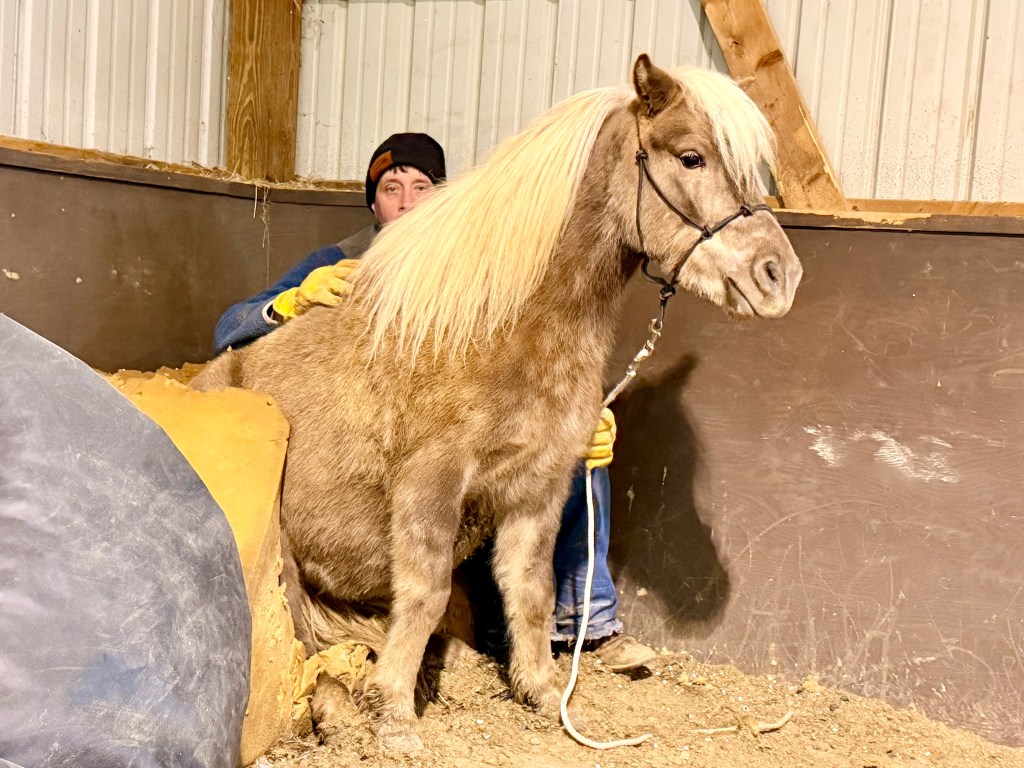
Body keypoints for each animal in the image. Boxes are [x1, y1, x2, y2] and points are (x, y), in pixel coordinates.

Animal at [192, 54, 802, 752]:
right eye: (692, 156)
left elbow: (530, 590)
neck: (497, 328)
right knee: (302, 636)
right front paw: (394, 713)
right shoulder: (431, 484)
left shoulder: (539, 486)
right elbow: (425, 590)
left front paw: (539, 690)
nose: (779, 275)